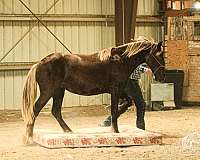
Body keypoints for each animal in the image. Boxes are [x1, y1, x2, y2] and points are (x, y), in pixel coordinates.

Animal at [22, 38, 166, 144]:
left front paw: (109, 124)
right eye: (159, 56)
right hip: (48, 92)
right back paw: (29, 138)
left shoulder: (120, 91)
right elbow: (114, 109)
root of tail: (39, 63)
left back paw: (69, 132)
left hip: (58, 91)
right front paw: (115, 131)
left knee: (55, 111)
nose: (162, 76)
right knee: (35, 109)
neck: (120, 61)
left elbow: (126, 103)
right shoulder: (115, 89)